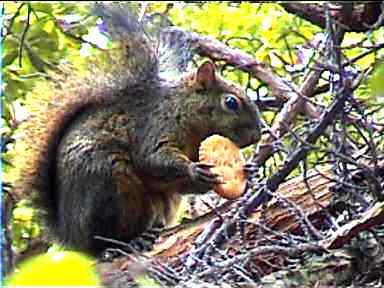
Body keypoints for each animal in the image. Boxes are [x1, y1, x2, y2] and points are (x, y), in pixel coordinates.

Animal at [14, 2, 260, 254]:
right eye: (231, 102)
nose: (256, 136)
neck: (184, 109)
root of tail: (72, 237)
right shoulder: (153, 126)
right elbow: (152, 158)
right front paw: (193, 168)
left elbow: (184, 185)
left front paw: (248, 170)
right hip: (110, 184)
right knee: (103, 240)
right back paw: (126, 243)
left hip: (160, 201)